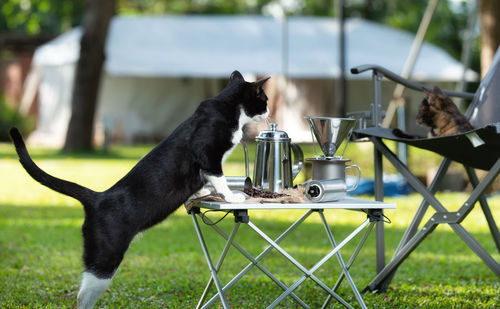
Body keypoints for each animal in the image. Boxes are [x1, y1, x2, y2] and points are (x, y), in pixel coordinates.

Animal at [7, 70, 270, 308]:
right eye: (265, 99)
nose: (269, 112)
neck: (229, 108)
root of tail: (96, 198)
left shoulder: (204, 168)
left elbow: (203, 184)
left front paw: (203, 195)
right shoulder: (208, 156)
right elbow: (220, 179)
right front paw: (232, 195)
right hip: (104, 261)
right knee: (82, 298)